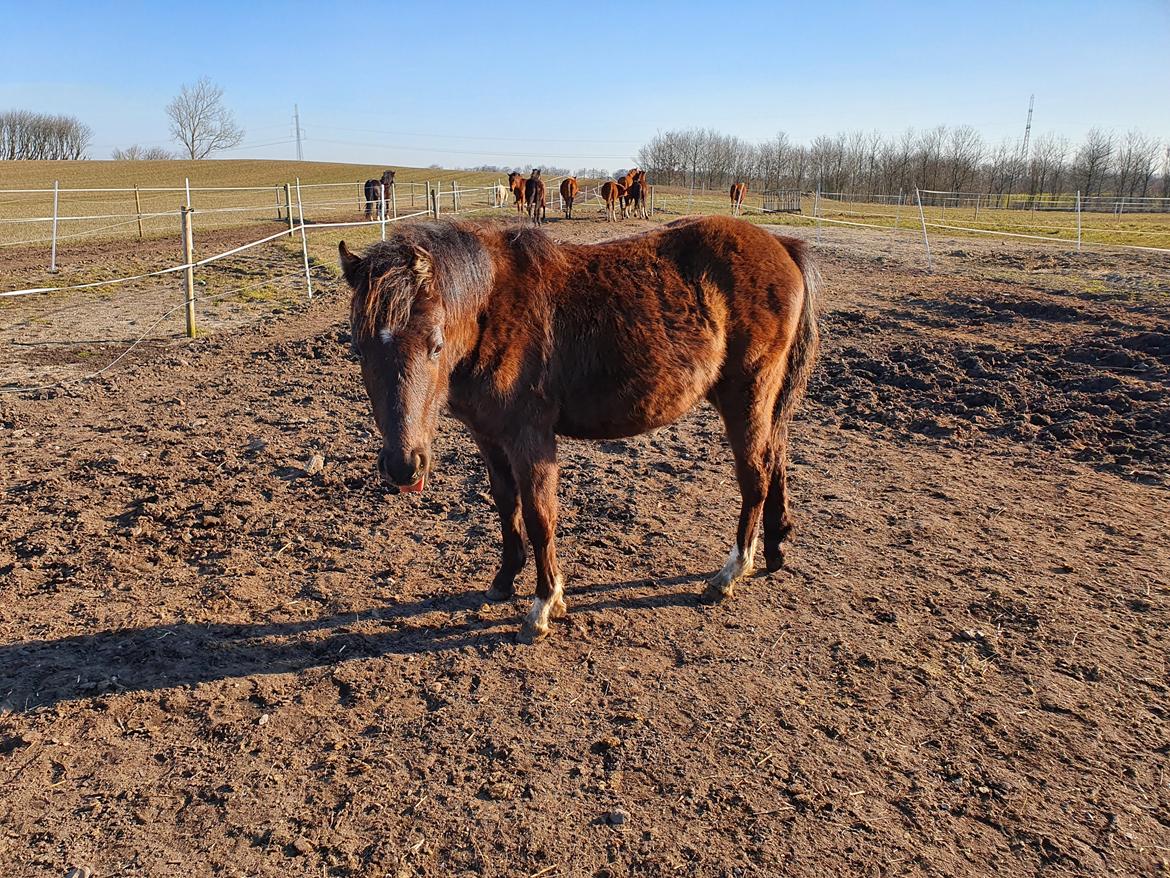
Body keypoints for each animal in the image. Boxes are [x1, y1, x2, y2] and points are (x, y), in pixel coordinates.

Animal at [339, 216, 823, 641]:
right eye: (359, 348)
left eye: (435, 345)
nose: (403, 467)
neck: (493, 312)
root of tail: (782, 245)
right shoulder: (489, 436)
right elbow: (506, 505)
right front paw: (504, 579)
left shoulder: (530, 438)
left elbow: (539, 517)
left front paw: (543, 605)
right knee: (775, 460)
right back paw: (775, 549)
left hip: (746, 394)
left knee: (755, 476)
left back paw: (729, 574)